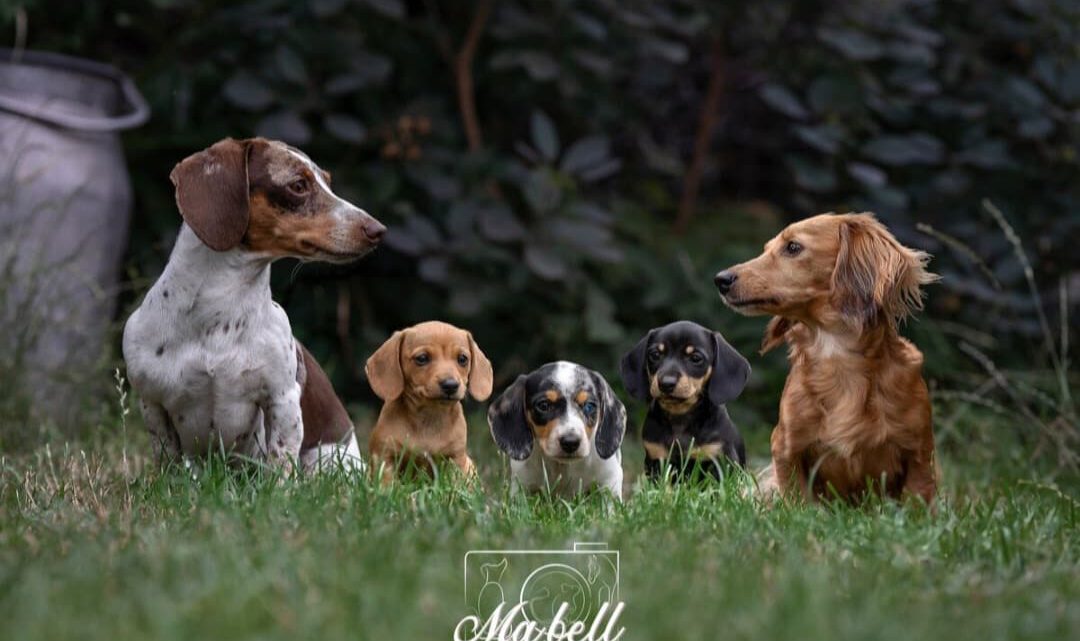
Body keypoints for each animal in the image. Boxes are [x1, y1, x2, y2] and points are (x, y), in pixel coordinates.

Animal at [367, 319, 494, 479]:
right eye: (422, 358)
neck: (429, 416)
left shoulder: (455, 458)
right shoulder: (385, 457)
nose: (450, 385)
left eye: (462, 359)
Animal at [622, 319, 747, 479]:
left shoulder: (721, 460)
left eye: (696, 358)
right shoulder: (656, 459)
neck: (680, 418)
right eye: (655, 355)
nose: (666, 384)